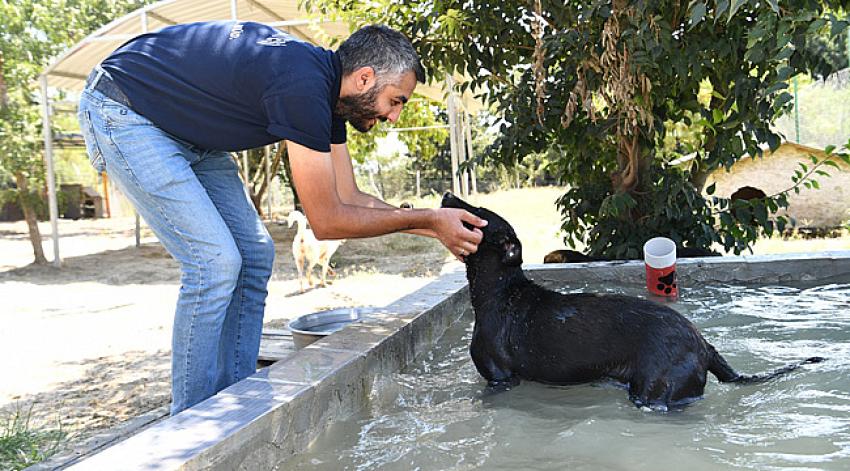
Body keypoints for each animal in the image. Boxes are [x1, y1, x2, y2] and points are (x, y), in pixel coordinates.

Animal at [440, 192, 824, 410]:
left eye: (477, 213)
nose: (445, 193)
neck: (498, 291)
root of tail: (704, 344)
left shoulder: (500, 379)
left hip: (656, 391)